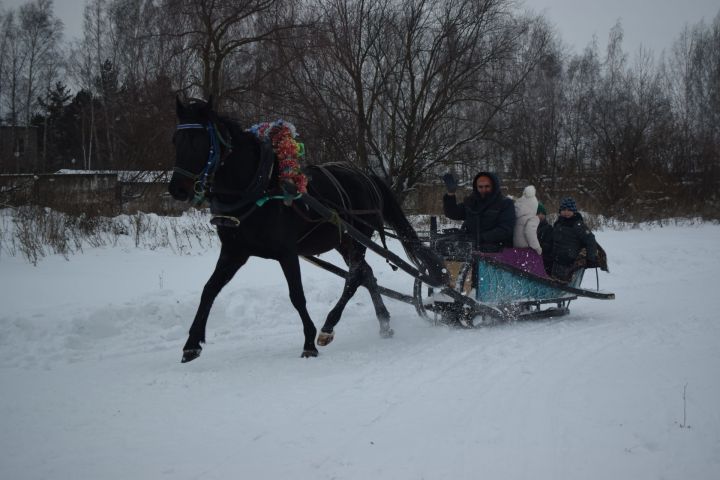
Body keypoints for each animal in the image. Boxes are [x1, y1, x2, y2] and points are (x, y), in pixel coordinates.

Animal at [169, 96, 444, 360]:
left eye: (198, 142)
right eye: (176, 140)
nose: (176, 189)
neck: (260, 187)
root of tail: (368, 177)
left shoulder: (287, 253)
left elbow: (297, 296)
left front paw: (309, 342)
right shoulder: (235, 252)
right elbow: (209, 290)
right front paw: (191, 344)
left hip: (358, 239)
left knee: (354, 277)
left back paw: (329, 327)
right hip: (345, 241)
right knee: (365, 273)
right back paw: (384, 323)